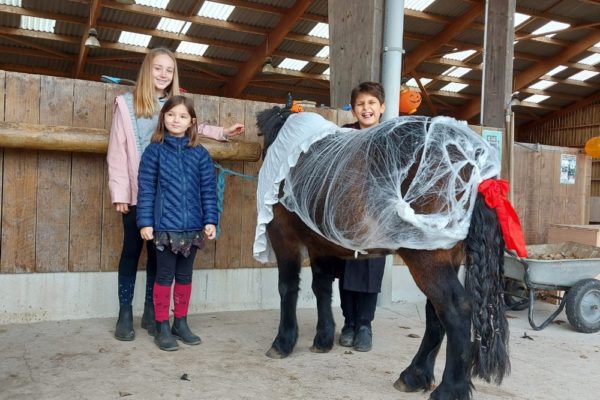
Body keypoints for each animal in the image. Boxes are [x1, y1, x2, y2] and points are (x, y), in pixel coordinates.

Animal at [253, 107, 510, 400]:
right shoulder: (320, 244)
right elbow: (322, 288)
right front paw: (323, 338)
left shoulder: (283, 236)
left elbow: (288, 288)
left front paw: (283, 341)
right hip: (445, 255)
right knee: (435, 312)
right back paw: (414, 375)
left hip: (426, 258)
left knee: (455, 309)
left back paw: (448, 389)